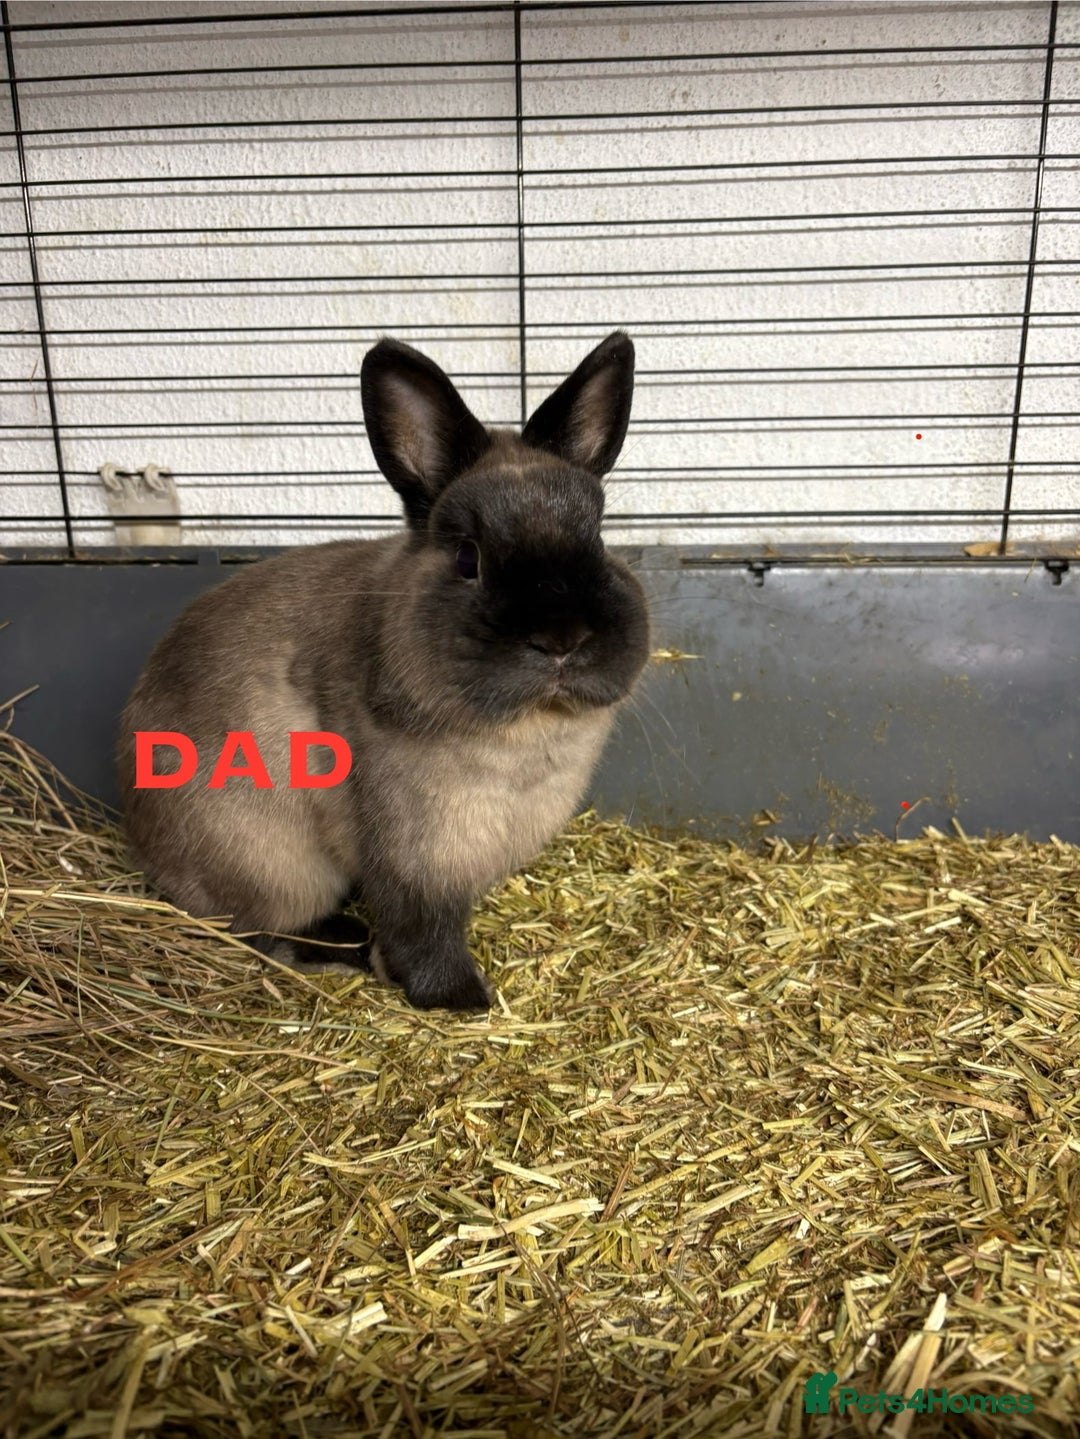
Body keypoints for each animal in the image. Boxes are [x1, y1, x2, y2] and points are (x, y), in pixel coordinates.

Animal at [117, 331, 650, 1011]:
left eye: (599, 540)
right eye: (467, 557)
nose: (562, 639)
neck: (529, 732)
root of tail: (138, 836)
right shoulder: (413, 853)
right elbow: (420, 927)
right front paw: (460, 998)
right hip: (270, 866)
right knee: (253, 926)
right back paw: (341, 943)